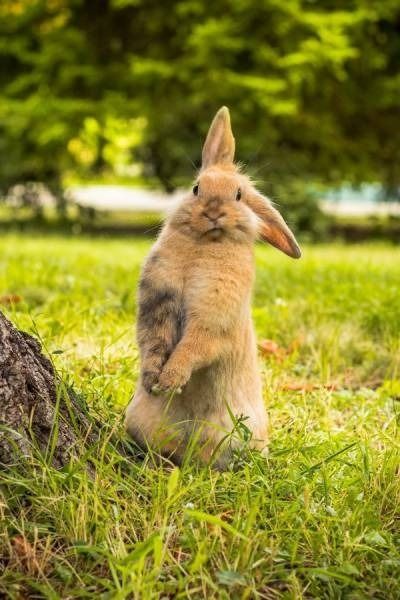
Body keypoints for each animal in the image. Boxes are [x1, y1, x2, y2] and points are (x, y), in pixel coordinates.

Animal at [125, 105, 300, 468]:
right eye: (196, 188)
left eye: (239, 195)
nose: (214, 212)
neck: (205, 245)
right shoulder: (157, 304)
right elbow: (152, 341)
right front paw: (153, 381)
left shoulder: (213, 318)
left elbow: (194, 346)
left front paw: (171, 380)